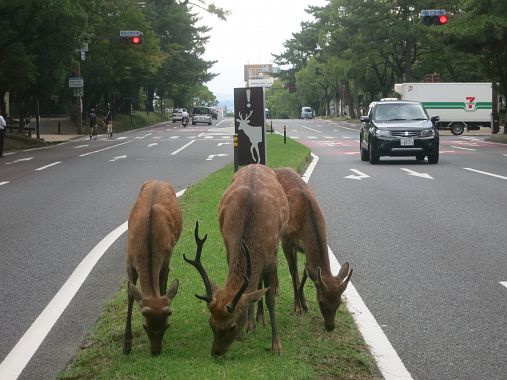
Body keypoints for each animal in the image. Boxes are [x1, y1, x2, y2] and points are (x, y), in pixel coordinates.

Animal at [124, 180, 184, 354]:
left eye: (166, 326)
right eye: (145, 326)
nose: (156, 352)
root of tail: (158, 180)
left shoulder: (165, 258)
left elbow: (163, 285)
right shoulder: (129, 260)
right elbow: (130, 295)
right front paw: (127, 344)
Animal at [186, 164, 290, 356]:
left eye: (232, 326)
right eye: (211, 323)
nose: (216, 353)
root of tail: (256, 164)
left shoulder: (272, 259)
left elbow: (270, 299)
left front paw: (276, 345)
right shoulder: (229, 250)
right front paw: (245, 330)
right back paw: (254, 321)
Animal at [274, 168, 354, 332]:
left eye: (339, 303)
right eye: (321, 301)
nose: (330, 327)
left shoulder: (304, 249)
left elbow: (306, 271)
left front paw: (304, 304)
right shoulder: (287, 240)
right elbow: (293, 271)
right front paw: (297, 307)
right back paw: (276, 288)